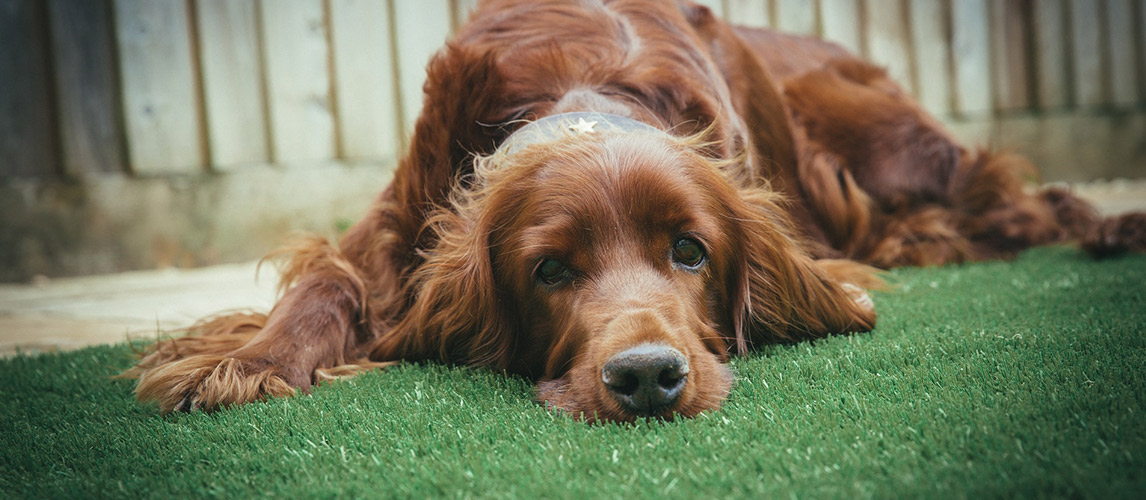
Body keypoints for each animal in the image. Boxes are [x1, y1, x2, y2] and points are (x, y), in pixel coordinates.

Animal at [120, 0, 1141, 422]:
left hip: (901, 153)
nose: (647, 375)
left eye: (690, 251)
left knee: (1027, 196)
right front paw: (250, 361)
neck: (584, 86)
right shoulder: (390, 232)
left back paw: (1112, 228)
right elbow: (326, 286)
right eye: (549, 270)